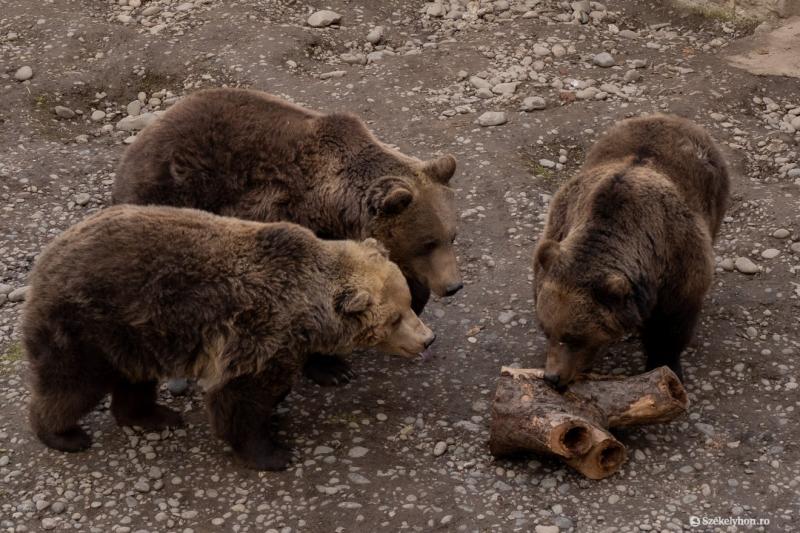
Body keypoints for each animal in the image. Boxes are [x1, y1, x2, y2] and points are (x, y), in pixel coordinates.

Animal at [21, 204, 434, 470]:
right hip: (86, 320)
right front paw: (273, 453)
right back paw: (63, 434)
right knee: (71, 383)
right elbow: (238, 399)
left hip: (133, 332)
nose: (427, 339)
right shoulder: (257, 331)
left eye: (408, 304)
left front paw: (277, 414)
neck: (307, 309)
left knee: (131, 378)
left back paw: (153, 415)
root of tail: (45, 259)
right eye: (395, 317)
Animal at [113, 89, 462, 384]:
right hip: (169, 196)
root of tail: (137, 146)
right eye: (427, 243)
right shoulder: (274, 211)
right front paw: (331, 367)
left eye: (451, 236)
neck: (331, 205)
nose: (453, 286)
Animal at [536, 113, 728, 386]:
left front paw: (666, 366)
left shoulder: (679, 260)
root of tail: (671, 118)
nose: (553, 377)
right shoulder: (561, 223)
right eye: (546, 330)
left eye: (575, 337)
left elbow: (671, 327)